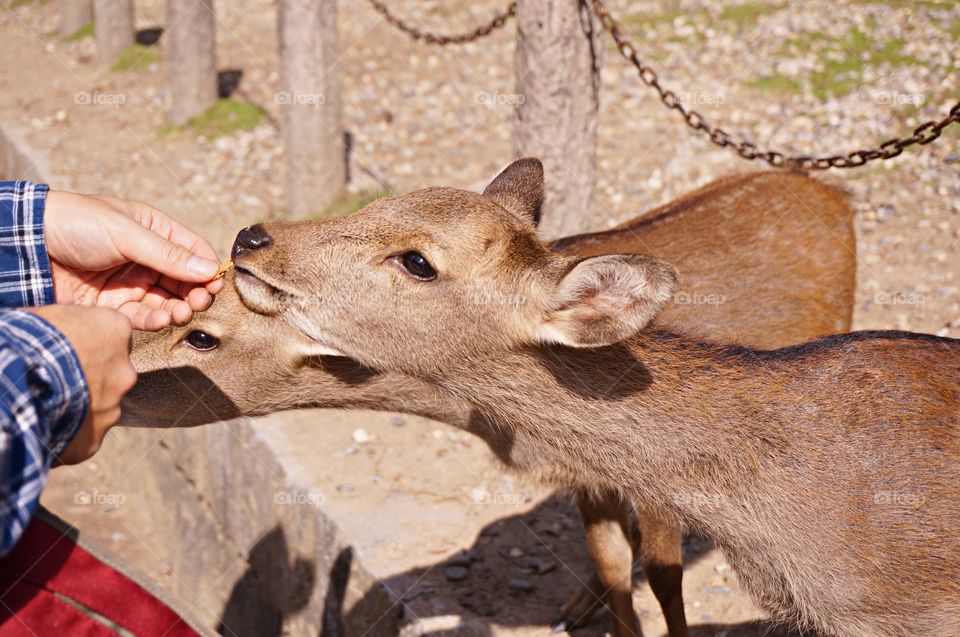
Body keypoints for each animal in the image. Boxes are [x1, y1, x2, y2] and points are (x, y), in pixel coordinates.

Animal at [127, 163, 857, 636]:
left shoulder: (657, 479)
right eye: (370, 207)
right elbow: (613, 563)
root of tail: (835, 191)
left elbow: (663, 574)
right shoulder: (586, 477)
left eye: (201, 335)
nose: (251, 236)